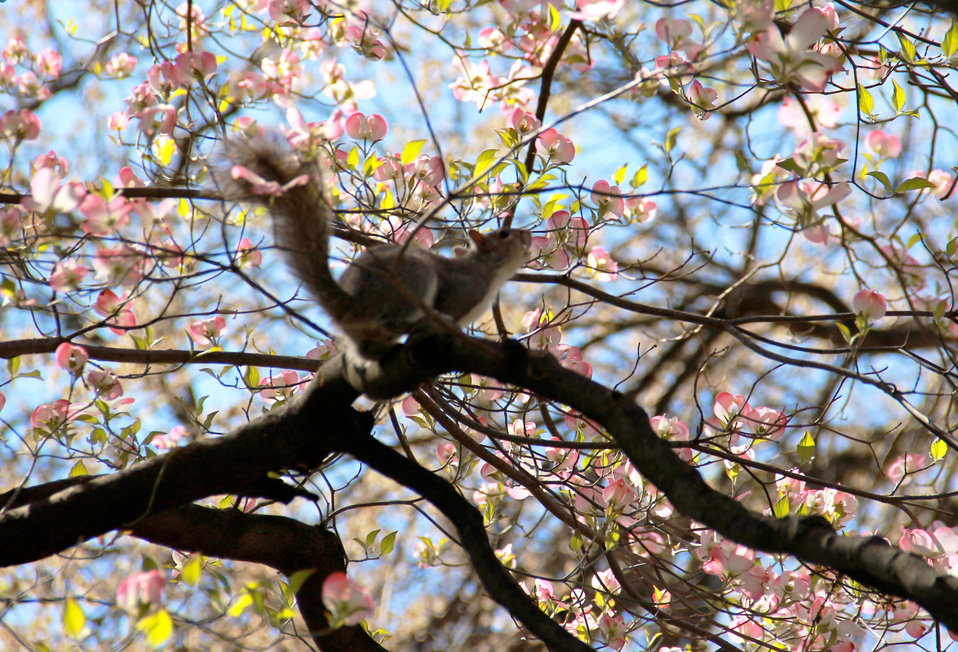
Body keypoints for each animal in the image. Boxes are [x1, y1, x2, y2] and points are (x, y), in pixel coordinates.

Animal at [218, 131, 532, 362]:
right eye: (504, 234)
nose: (527, 235)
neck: (487, 271)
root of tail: (351, 307)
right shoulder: (460, 291)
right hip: (414, 278)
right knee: (392, 320)